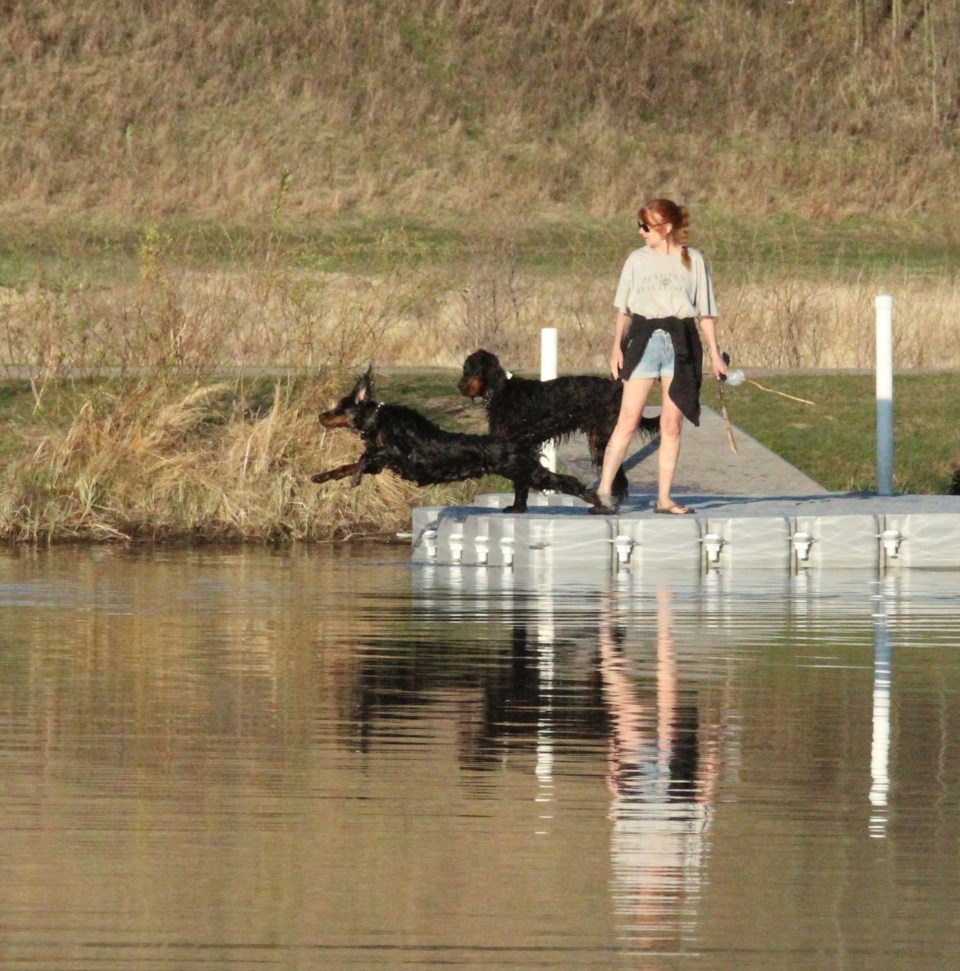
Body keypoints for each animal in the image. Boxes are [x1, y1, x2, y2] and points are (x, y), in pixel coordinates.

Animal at [312, 368, 604, 512]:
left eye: (339, 408)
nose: (321, 416)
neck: (379, 421)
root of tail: (517, 439)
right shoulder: (382, 464)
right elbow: (349, 465)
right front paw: (321, 477)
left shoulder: (402, 455)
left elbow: (365, 457)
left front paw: (354, 479)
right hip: (521, 470)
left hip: (529, 471)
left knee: (567, 481)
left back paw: (597, 501)